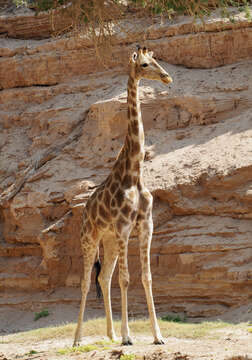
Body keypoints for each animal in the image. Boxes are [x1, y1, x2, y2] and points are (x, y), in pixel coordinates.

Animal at [73, 45, 173, 346]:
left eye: (156, 60)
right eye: (144, 65)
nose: (167, 78)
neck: (134, 173)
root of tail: (84, 212)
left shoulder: (146, 227)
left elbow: (147, 278)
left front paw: (157, 336)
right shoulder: (124, 228)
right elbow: (126, 279)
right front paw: (129, 337)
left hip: (108, 240)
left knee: (104, 277)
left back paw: (111, 333)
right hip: (90, 238)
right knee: (86, 281)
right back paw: (78, 339)